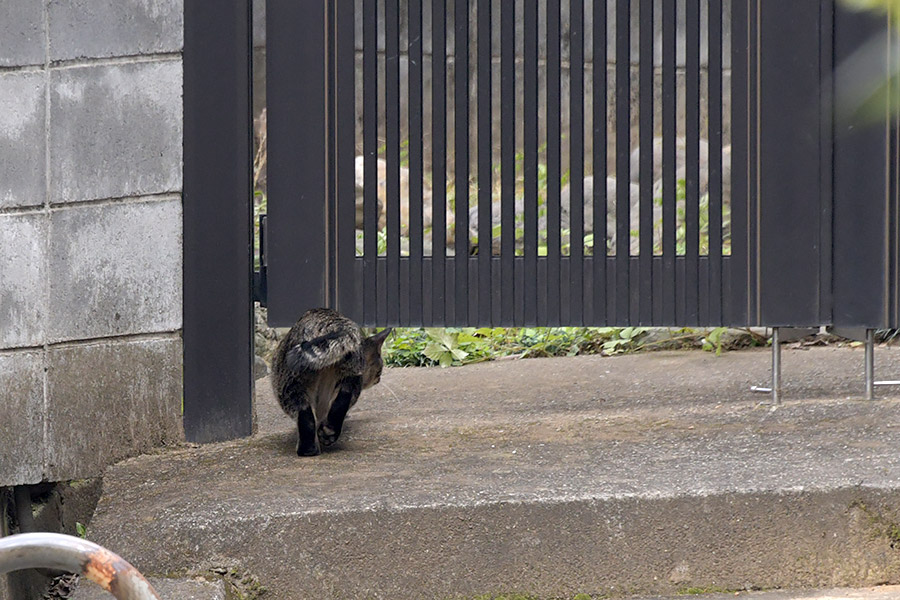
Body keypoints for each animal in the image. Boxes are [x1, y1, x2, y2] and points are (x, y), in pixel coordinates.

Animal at [270, 310, 390, 454]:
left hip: (289, 386)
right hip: (348, 375)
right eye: (379, 371)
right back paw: (328, 433)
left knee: (305, 413)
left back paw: (308, 448)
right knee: (342, 399)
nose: (379, 379)